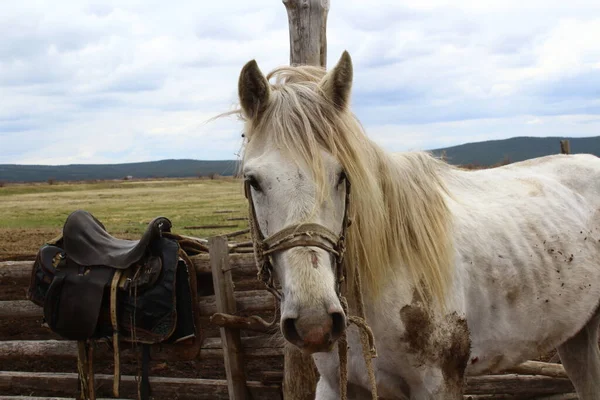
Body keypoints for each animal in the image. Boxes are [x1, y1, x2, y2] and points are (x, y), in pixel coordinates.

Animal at [233, 51, 600, 398]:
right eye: (253, 181)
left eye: (342, 176)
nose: (315, 322)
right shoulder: (336, 385)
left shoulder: (439, 385)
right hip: (576, 338)